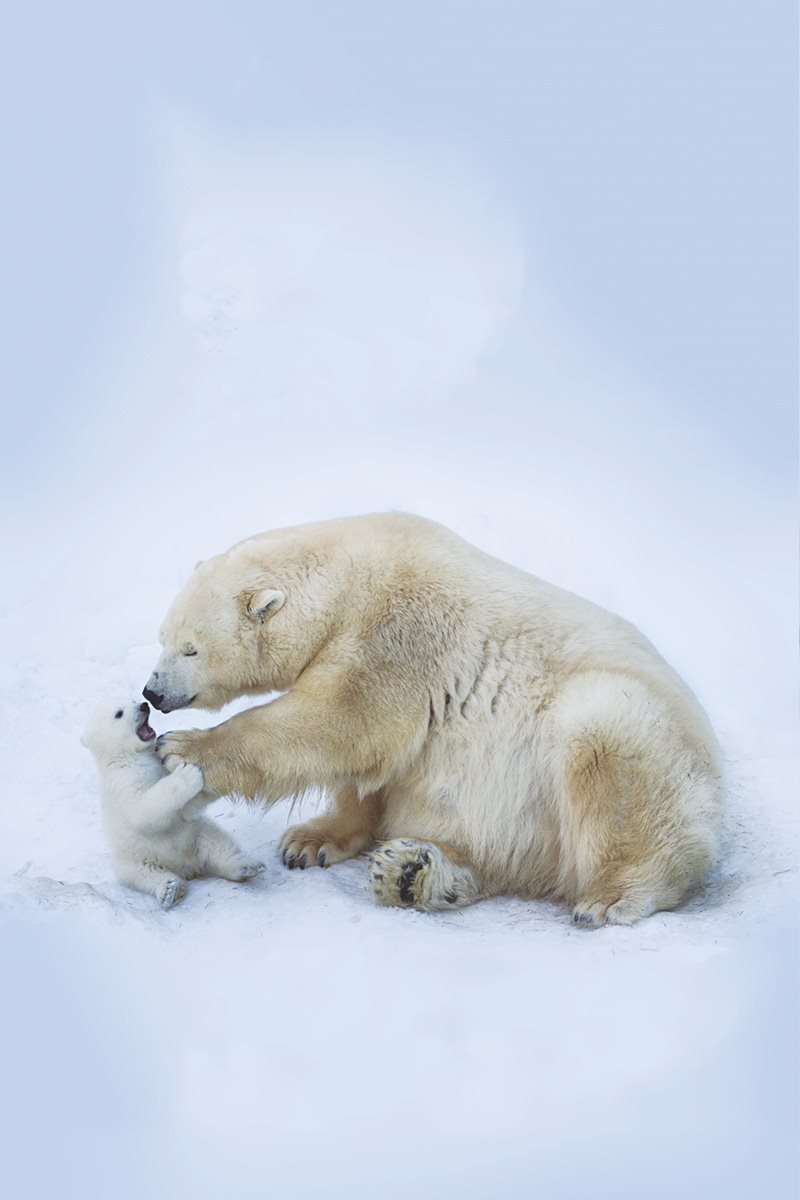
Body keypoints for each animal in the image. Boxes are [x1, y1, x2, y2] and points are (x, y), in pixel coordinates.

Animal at [145, 511, 724, 921]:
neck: (352, 577)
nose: (152, 692)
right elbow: (372, 764)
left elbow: (342, 720)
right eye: (163, 637)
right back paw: (412, 874)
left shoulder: (404, 629)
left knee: (607, 745)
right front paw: (310, 841)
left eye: (191, 648)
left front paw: (182, 749)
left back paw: (612, 895)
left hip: (640, 743)